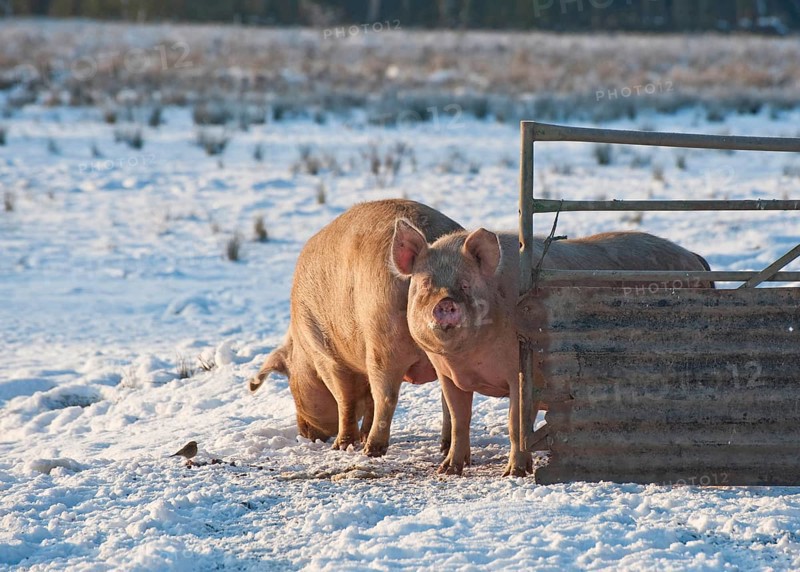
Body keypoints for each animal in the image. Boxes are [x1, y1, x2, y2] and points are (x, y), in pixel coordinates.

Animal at [250, 200, 462, 456]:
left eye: (291, 384)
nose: (305, 434)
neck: (303, 349)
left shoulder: (327, 356)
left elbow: (346, 400)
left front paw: (343, 446)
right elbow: (366, 401)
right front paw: (358, 436)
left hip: (383, 341)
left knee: (387, 396)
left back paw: (371, 449)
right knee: (447, 399)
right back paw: (444, 446)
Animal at [391, 225, 713, 476]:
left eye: (466, 284)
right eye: (425, 284)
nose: (445, 303)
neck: (467, 359)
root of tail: (694, 258)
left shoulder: (524, 372)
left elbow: (516, 424)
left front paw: (514, 473)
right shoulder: (448, 375)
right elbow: (460, 420)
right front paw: (447, 469)